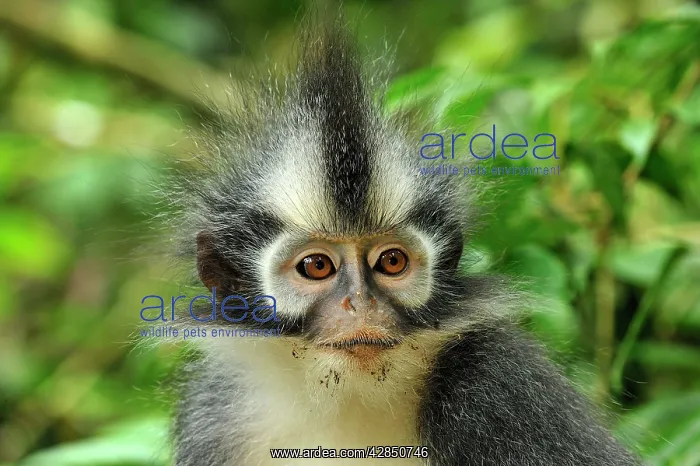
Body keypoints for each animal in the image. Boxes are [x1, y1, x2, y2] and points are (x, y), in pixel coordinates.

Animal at [163, 13, 640, 466]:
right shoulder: (216, 416)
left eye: (391, 261)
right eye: (316, 266)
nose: (361, 304)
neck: (347, 399)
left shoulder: (496, 382)